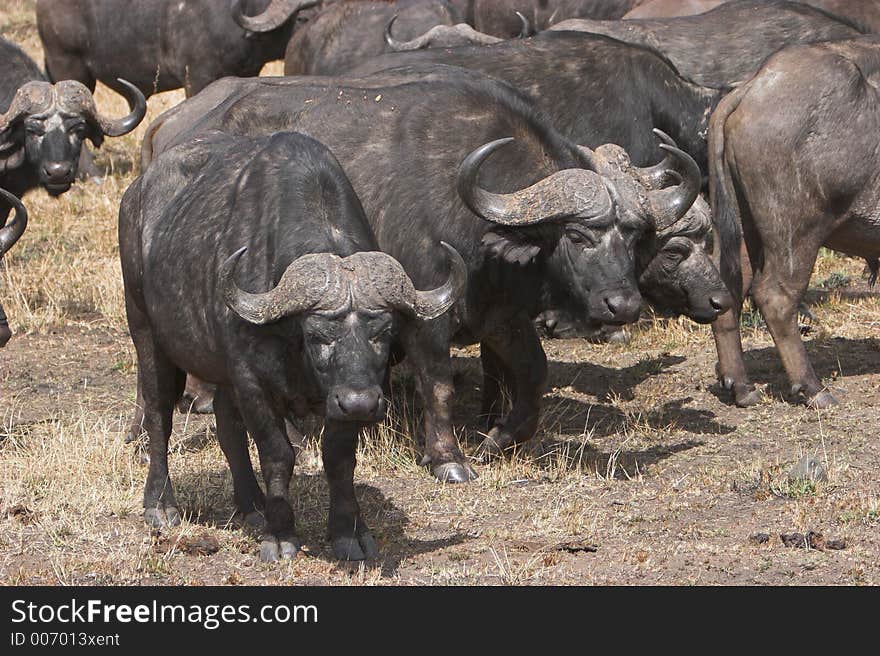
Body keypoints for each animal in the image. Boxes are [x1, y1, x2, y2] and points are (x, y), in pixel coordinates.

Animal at [712, 34, 880, 410]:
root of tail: (754, 85)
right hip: (796, 233)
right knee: (777, 297)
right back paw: (812, 388)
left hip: (742, 228)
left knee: (728, 288)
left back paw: (741, 387)